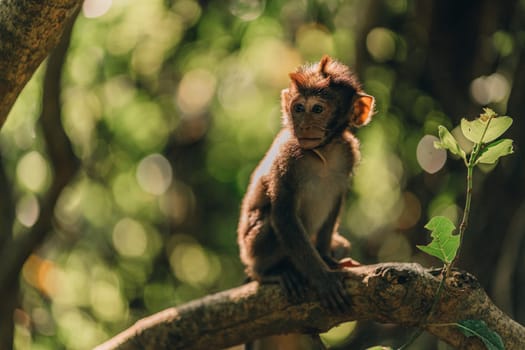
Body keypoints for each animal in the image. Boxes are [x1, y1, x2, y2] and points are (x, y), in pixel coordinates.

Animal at [235, 54, 374, 312]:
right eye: (298, 108)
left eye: (317, 109)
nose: (304, 125)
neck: (323, 152)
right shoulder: (287, 158)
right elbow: (284, 216)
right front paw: (323, 277)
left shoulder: (348, 153)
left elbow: (335, 202)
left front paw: (327, 258)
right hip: (252, 248)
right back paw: (268, 273)